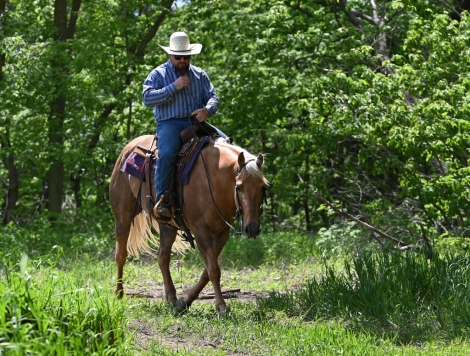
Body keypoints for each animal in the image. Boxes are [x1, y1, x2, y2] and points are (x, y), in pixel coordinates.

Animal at [107, 135, 268, 312]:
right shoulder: (201, 231)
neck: (213, 179)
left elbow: (207, 271)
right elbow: (214, 270)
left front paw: (185, 301)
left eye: (263, 187)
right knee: (121, 255)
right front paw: (221, 306)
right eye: (239, 187)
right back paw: (118, 293)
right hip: (123, 216)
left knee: (162, 257)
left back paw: (171, 298)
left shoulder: (222, 233)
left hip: (167, 226)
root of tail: (129, 147)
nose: (252, 228)